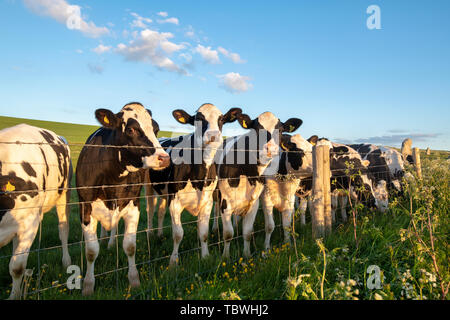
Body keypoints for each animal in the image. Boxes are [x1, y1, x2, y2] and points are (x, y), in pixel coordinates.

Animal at [0, 124, 71, 298]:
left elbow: (16, 267)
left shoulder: (29, 223)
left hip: (64, 194)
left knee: (63, 228)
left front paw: (14, 296)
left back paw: (66, 262)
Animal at [76, 102, 170, 296]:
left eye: (156, 129)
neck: (113, 179)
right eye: (131, 129)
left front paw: (134, 281)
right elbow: (91, 251)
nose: (164, 158)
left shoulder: (133, 206)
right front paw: (88, 286)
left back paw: (111, 242)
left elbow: (130, 246)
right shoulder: (85, 208)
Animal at [146, 104, 241, 266]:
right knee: (150, 209)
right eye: (198, 119)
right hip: (147, 186)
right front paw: (173, 261)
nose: (213, 135)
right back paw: (151, 234)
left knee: (160, 211)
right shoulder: (175, 202)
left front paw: (205, 256)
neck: (199, 178)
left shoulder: (207, 202)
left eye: (221, 119)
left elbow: (203, 233)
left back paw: (159, 234)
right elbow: (178, 234)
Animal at [217, 111, 302, 258]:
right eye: (256, 129)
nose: (270, 149)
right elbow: (228, 234)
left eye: (280, 130)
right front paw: (225, 257)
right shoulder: (225, 203)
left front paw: (246, 255)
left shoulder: (254, 202)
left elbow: (247, 232)